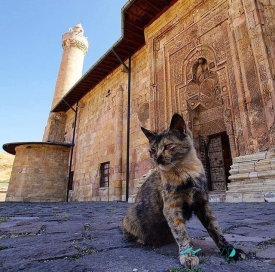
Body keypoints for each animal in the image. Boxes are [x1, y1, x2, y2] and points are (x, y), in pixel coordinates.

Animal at [123, 113, 246, 268]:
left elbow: (215, 229)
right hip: (132, 212)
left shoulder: (202, 203)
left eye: (168, 146)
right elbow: (181, 233)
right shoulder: (171, 207)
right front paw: (187, 256)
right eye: (152, 150)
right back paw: (142, 240)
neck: (186, 171)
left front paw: (230, 250)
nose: (157, 158)